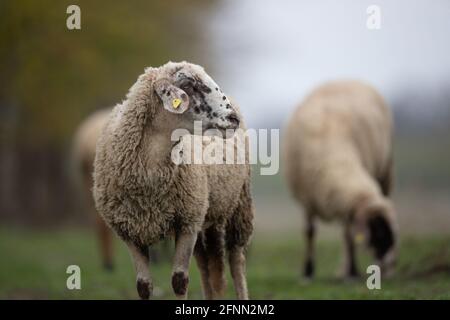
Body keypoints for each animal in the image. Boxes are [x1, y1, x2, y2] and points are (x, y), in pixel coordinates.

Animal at [92, 60, 253, 300]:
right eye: (188, 84)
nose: (233, 118)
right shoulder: (130, 231)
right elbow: (143, 286)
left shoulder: (187, 224)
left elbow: (179, 281)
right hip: (206, 212)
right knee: (207, 266)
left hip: (235, 206)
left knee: (234, 262)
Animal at [284, 80, 398, 278]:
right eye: (378, 232)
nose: (387, 264)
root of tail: (348, 79)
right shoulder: (307, 198)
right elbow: (309, 232)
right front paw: (308, 271)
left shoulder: (347, 203)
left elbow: (348, 236)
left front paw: (352, 271)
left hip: (385, 170)